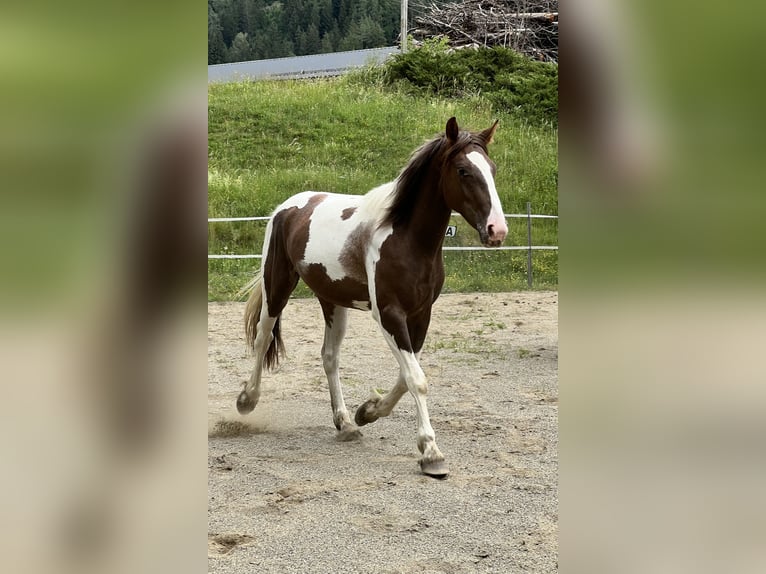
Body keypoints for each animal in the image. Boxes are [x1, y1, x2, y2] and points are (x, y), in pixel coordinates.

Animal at [236, 117, 507, 478]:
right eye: (463, 170)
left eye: (492, 168)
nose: (497, 230)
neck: (407, 238)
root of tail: (288, 207)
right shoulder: (390, 314)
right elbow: (416, 378)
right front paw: (431, 453)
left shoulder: (420, 315)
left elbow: (407, 377)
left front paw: (368, 411)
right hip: (277, 286)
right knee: (263, 337)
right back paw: (247, 399)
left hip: (332, 301)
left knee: (329, 357)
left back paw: (345, 423)